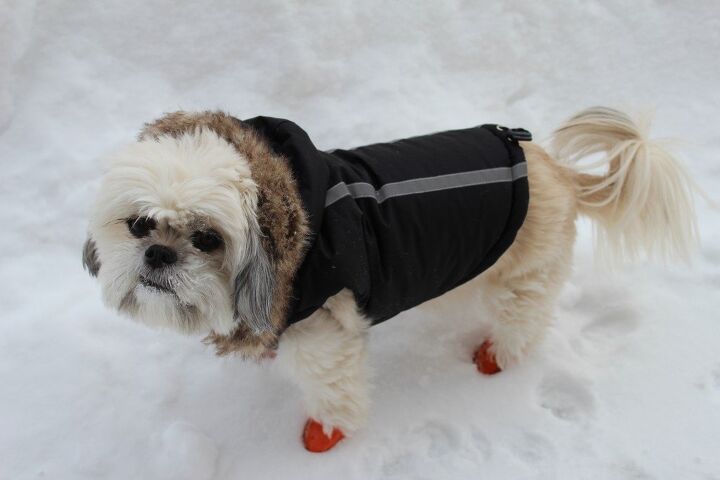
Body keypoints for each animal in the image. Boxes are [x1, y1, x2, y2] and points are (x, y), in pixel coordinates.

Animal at [83, 107, 696, 452]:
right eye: (138, 225)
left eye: (209, 239)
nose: (158, 254)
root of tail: (557, 170)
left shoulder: (325, 337)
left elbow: (334, 392)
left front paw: (325, 434)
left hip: (524, 279)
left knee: (524, 323)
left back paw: (496, 356)